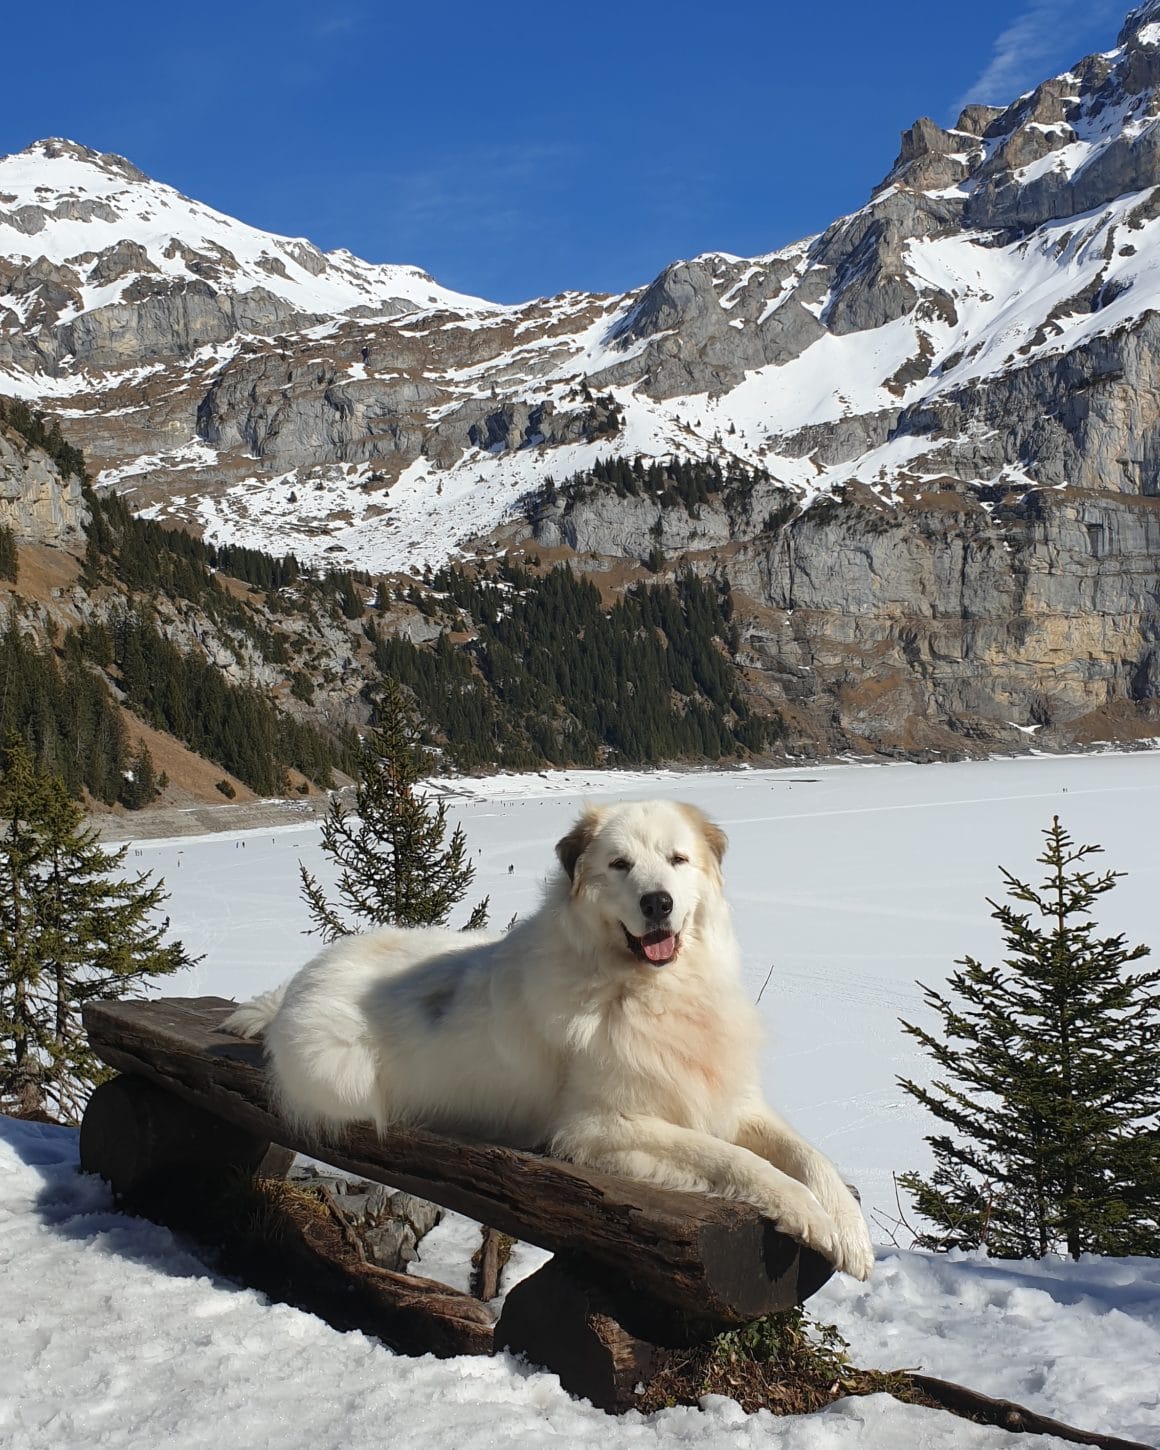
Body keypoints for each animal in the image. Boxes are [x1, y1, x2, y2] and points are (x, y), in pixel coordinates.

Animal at [226, 794, 875, 1281]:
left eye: (678, 860)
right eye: (620, 865)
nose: (658, 902)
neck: (649, 989)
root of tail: (303, 981)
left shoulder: (728, 1099)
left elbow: (808, 1153)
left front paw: (849, 1229)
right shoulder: (598, 1126)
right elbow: (733, 1157)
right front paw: (807, 1214)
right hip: (341, 1072)